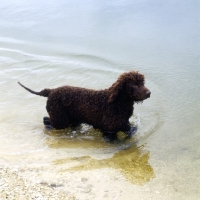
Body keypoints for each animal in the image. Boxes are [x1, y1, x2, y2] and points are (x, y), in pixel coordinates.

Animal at [18, 71, 150, 141]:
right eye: (135, 84)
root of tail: (51, 91)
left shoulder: (124, 124)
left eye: (142, 83)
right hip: (60, 118)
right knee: (47, 121)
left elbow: (132, 130)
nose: (149, 93)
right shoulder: (109, 130)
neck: (117, 103)